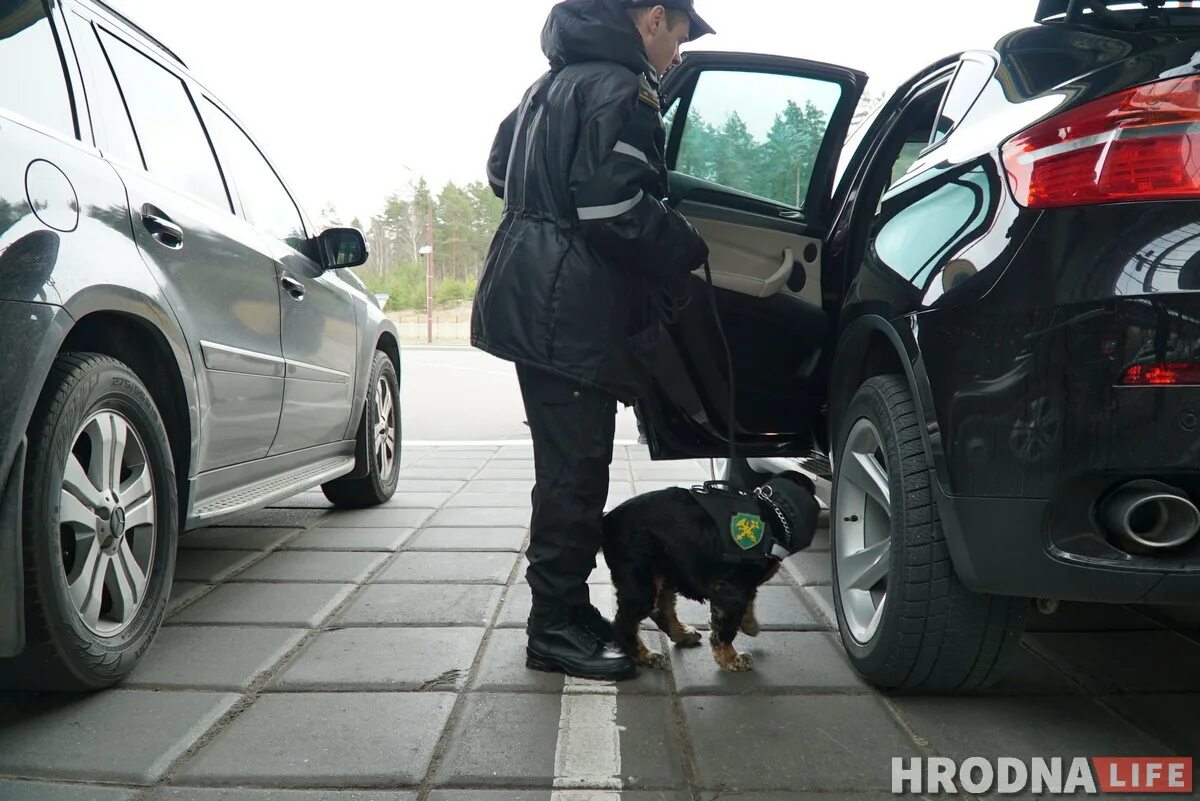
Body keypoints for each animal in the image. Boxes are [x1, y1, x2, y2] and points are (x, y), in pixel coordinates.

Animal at [600, 474, 825, 671]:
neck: (775, 511)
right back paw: (645, 656)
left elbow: (748, 601)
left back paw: (682, 635)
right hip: (641, 578)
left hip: (666, 571)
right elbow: (726, 628)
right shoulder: (730, 590)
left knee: (661, 608)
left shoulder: (743, 585)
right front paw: (731, 659)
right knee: (624, 623)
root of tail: (607, 520)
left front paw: (749, 625)